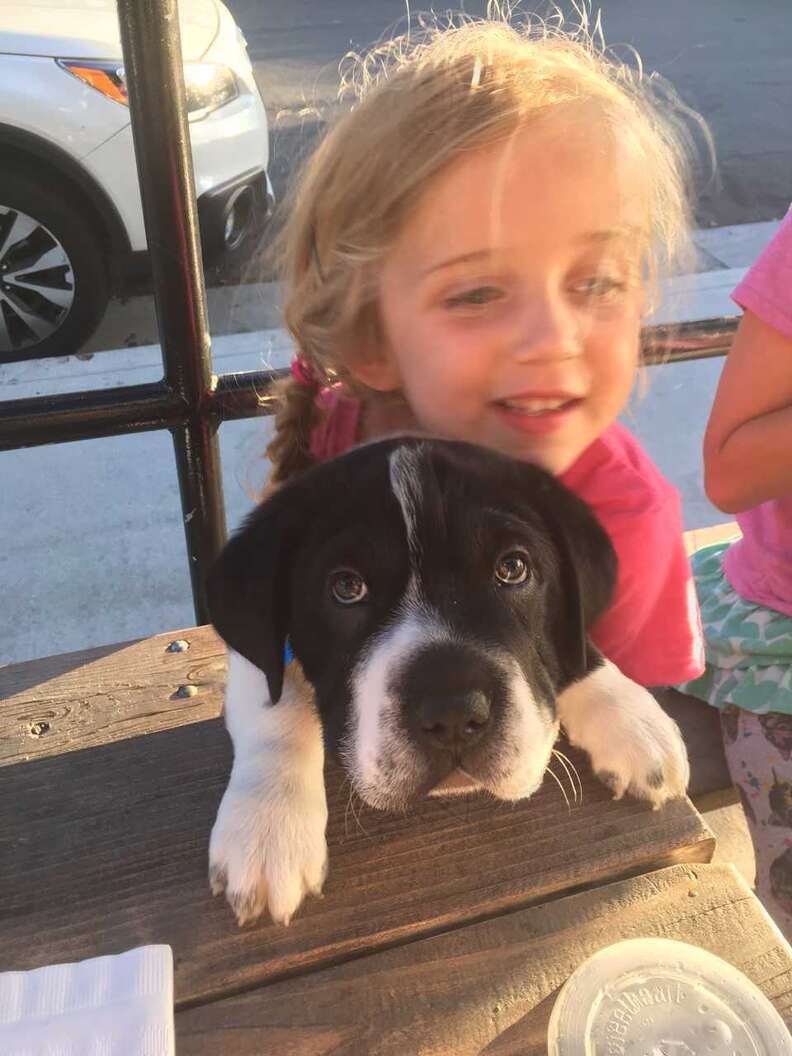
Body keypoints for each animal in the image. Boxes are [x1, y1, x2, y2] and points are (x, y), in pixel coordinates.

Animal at [208, 437, 692, 925]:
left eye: (513, 569)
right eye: (346, 588)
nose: (455, 715)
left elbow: (574, 646)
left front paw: (628, 719)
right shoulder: (258, 658)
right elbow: (279, 698)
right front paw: (269, 823)